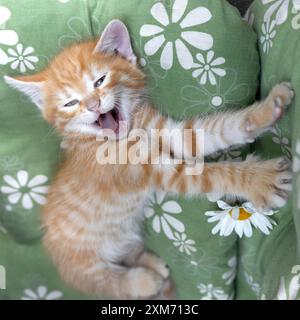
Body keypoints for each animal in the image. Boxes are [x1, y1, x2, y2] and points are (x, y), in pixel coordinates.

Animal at [3, 20, 292, 300]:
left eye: (100, 80)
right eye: (70, 103)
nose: (94, 106)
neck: (130, 133)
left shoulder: (175, 135)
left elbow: (216, 129)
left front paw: (269, 107)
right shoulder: (155, 171)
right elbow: (206, 174)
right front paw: (261, 181)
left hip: (126, 233)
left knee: (128, 255)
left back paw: (152, 265)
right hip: (83, 263)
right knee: (105, 282)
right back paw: (143, 281)